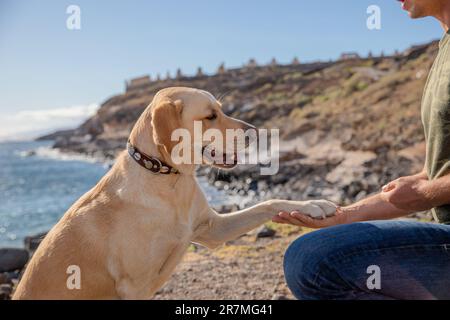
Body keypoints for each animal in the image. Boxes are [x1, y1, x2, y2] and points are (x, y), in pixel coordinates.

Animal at [13, 86, 338, 298]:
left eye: (221, 110)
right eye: (210, 116)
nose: (255, 132)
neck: (167, 178)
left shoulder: (213, 229)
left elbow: (267, 202)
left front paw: (313, 204)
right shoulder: (133, 286)